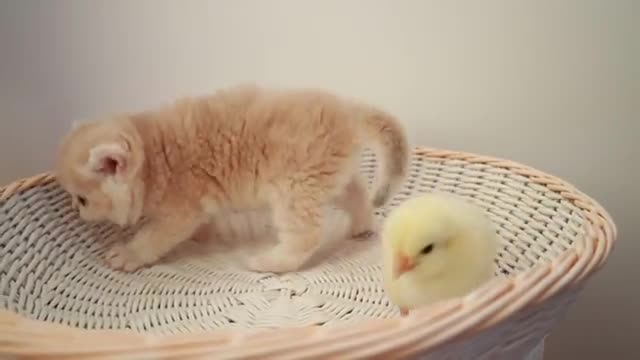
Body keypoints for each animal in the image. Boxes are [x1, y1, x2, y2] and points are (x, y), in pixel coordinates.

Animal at [53, 86, 404, 272]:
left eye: (82, 199)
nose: (75, 209)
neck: (150, 159)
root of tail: (347, 110)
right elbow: (204, 224)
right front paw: (205, 236)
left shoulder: (179, 213)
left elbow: (151, 238)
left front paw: (129, 255)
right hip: (326, 179)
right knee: (357, 194)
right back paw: (361, 226)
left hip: (294, 189)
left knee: (306, 235)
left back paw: (270, 262)